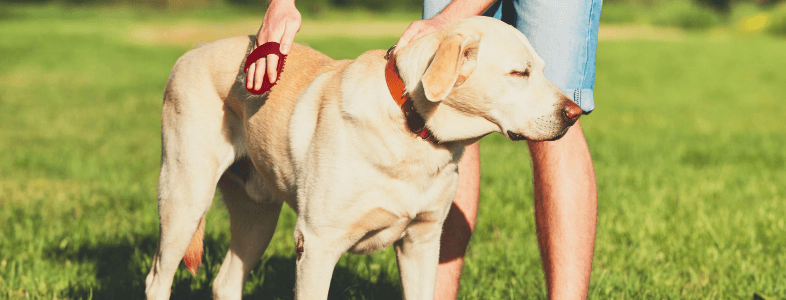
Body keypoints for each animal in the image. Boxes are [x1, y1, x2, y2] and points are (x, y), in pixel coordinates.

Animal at [144, 16, 580, 300]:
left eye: (542, 70)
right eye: (519, 73)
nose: (575, 114)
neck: (412, 129)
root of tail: (194, 50)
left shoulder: (422, 243)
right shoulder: (317, 245)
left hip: (258, 218)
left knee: (226, 282)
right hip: (185, 199)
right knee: (158, 280)